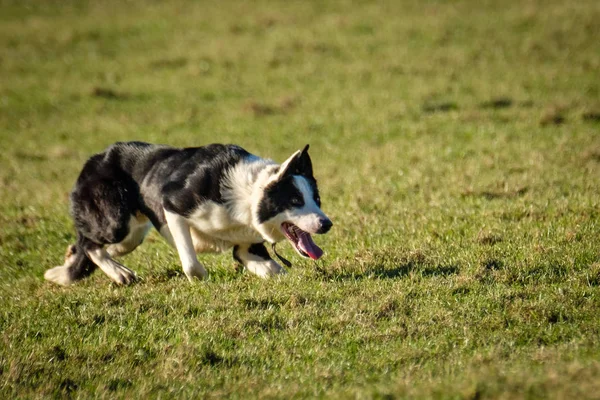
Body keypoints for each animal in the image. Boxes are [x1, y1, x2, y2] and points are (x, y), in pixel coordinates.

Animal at [44, 142, 330, 286]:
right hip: (117, 223)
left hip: (131, 237)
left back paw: (74, 264)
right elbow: (191, 262)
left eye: (316, 200)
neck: (248, 196)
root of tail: (93, 159)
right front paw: (200, 278)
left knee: (88, 244)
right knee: (91, 244)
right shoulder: (173, 204)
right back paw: (119, 274)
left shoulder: (246, 246)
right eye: (295, 200)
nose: (327, 223)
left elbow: (267, 266)